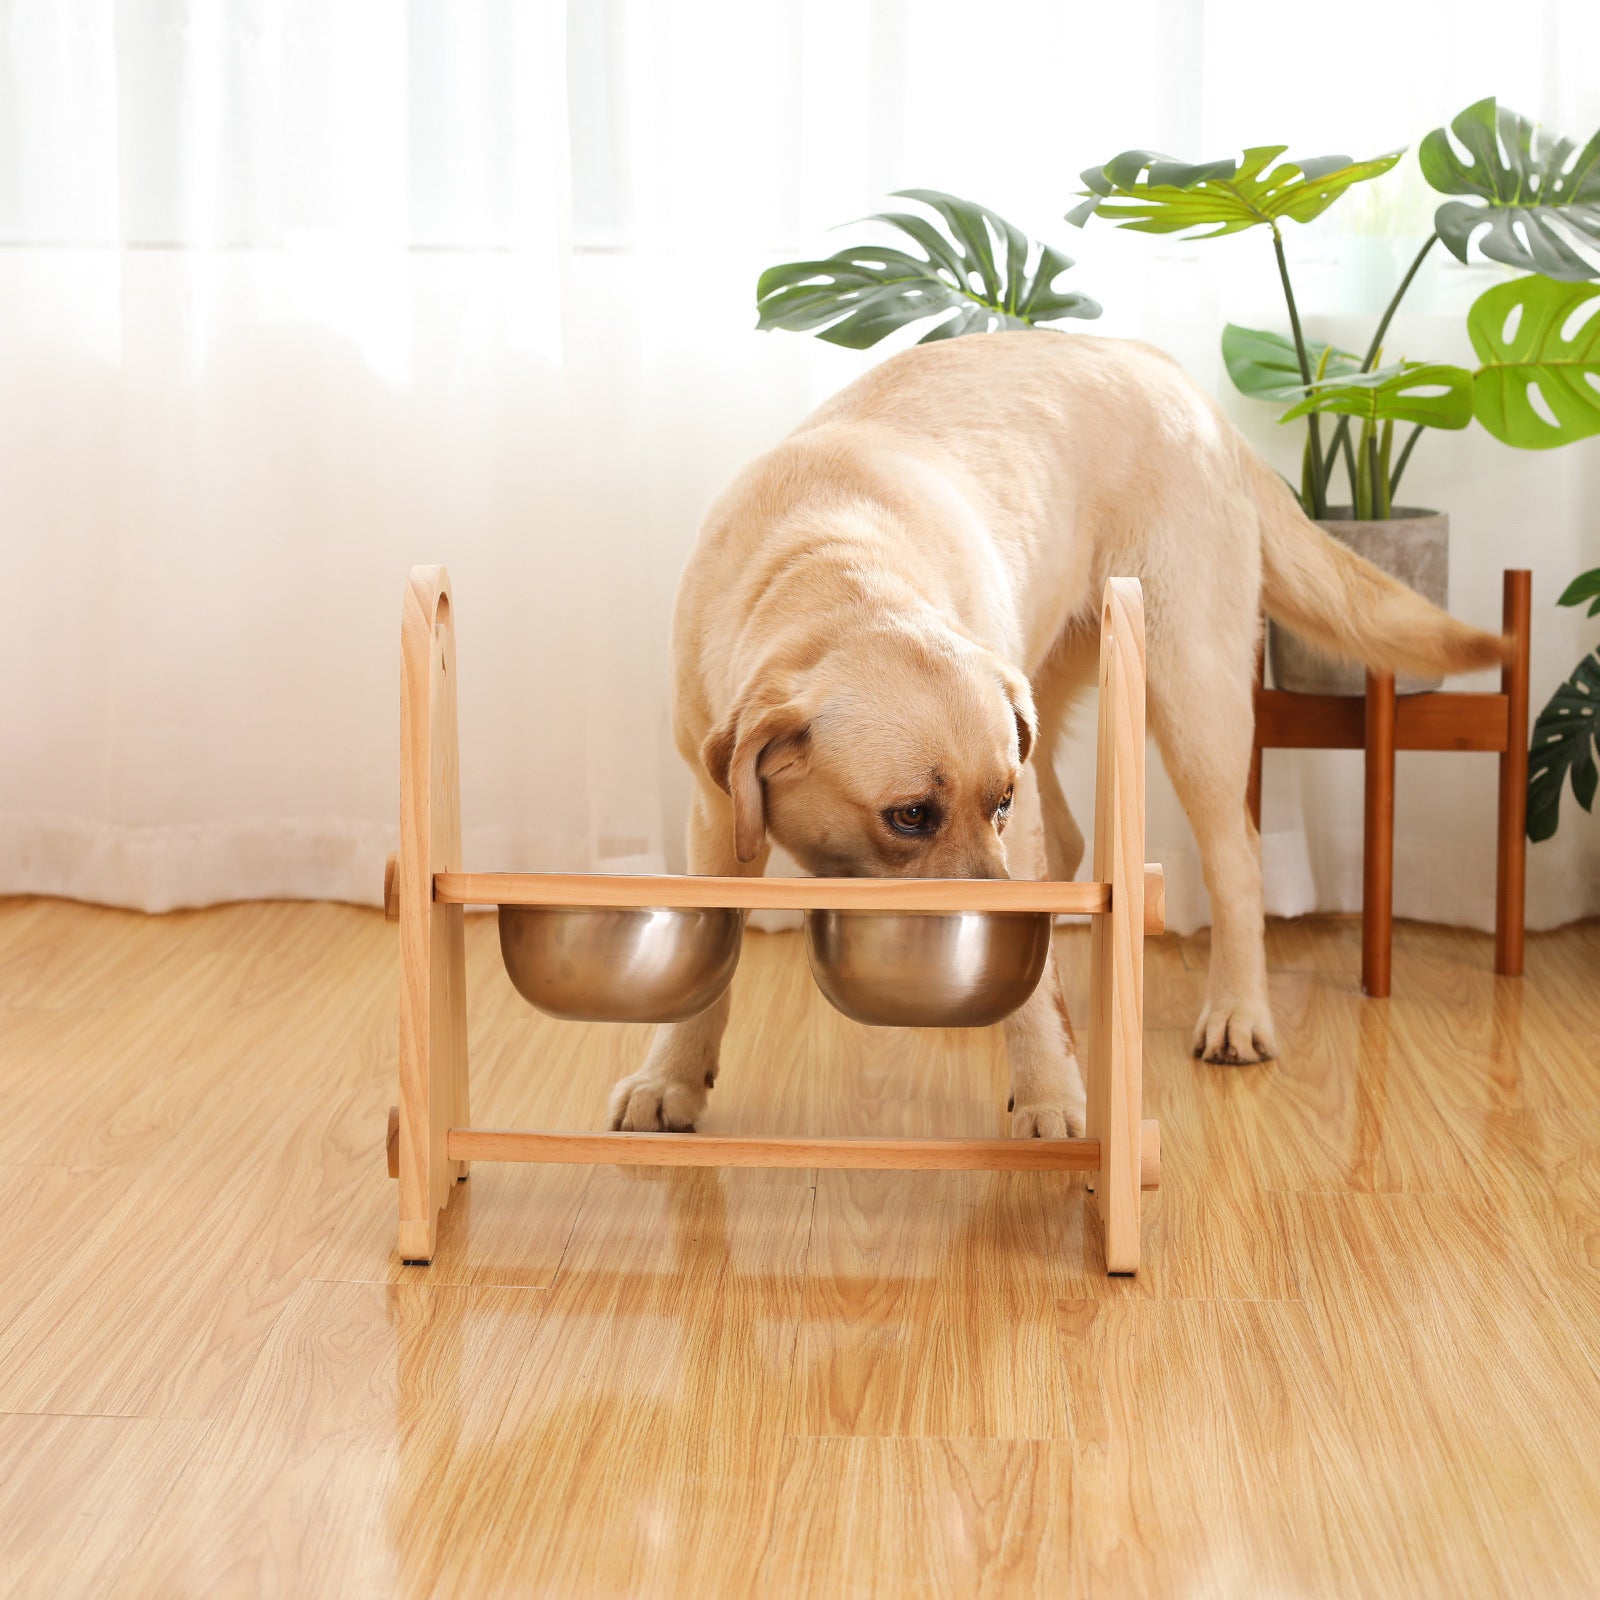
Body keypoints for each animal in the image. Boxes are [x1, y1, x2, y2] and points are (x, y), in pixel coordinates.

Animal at [604, 334, 1504, 1139]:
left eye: (995, 804)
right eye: (910, 816)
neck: (833, 567)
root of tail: (1176, 379)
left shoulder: (1019, 799)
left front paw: (1052, 1099)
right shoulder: (717, 810)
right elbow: (708, 953)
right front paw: (671, 1078)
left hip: (1190, 691)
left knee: (1236, 859)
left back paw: (1237, 1011)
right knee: (1078, 842)